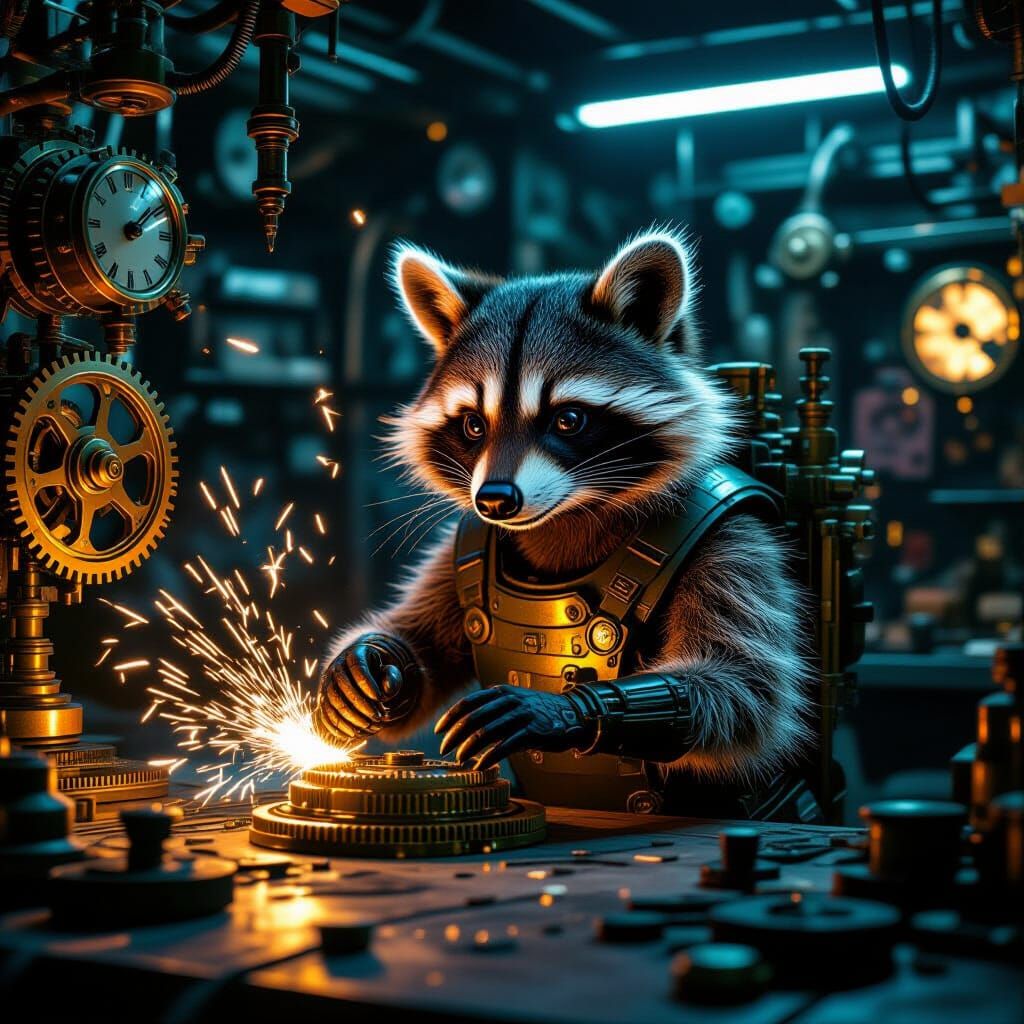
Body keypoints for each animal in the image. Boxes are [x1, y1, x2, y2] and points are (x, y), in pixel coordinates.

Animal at [316, 228, 814, 818]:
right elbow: (425, 639)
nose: (495, 500)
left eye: (568, 419)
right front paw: (369, 661)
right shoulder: (464, 543)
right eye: (473, 425)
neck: (570, 512)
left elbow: (744, 685)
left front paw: (564, 709)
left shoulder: (732, 538)